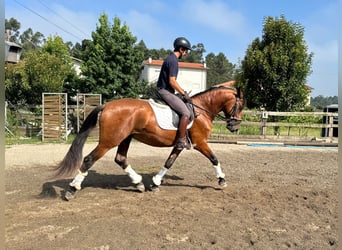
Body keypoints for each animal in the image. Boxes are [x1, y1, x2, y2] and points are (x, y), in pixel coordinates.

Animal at [53, 81, 244, 200]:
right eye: (240, 105)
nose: (235, 126)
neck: (201, 110)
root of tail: (107, 105)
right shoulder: (200, 142)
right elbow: (214, 158)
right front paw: (222, 180)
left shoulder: (180, 145)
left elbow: (169, 162)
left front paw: (155, 183)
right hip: (109, 141)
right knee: (89, 159)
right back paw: (72, 189)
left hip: (126, 138)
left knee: (120, 159)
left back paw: (138, 183)